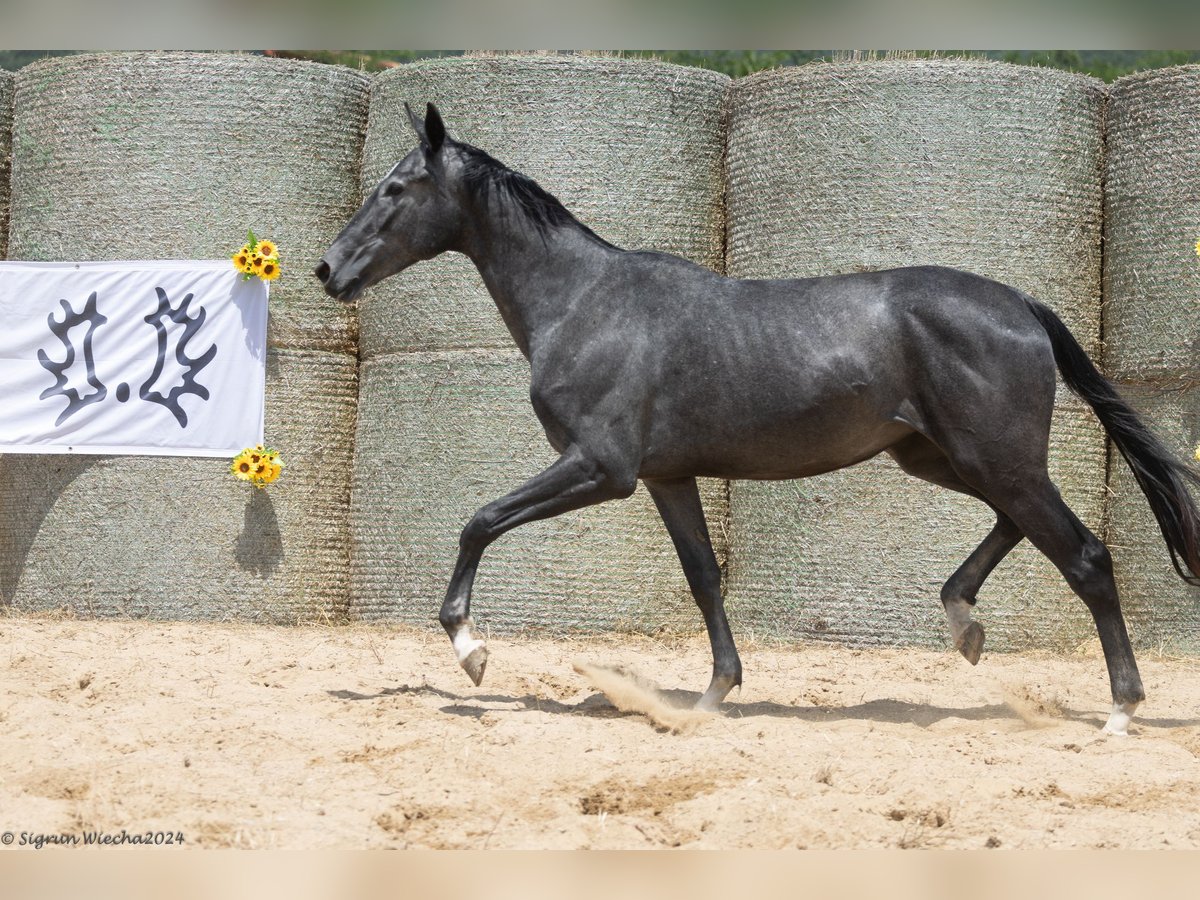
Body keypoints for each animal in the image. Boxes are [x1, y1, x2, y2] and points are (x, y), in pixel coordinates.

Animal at [319, 107, 1200, 739]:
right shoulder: (667, 477)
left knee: (1085, 557)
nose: (329, 268)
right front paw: (713, 696)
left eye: (396, 188)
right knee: (1018, 528)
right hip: (945, 458)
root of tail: (1022, 303)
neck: (583, 302)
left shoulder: (601, 467)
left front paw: (471, 651)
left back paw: (1119, 713)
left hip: (994, 460)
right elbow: (704, 577)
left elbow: (479, 520)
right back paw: (965, 624)